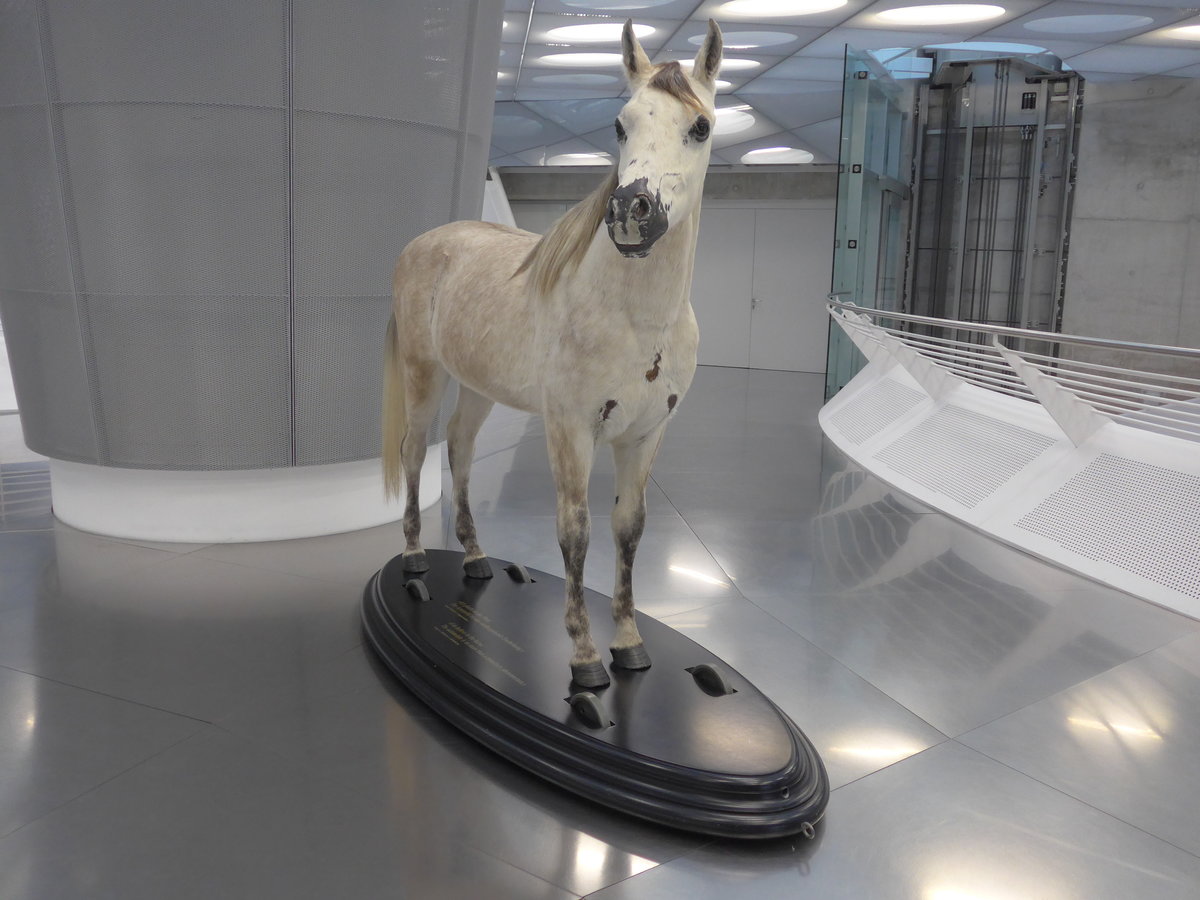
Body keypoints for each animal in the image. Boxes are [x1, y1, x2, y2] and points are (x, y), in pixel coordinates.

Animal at [382, 20, 723, 689]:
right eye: (620, 124)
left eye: (699, 127)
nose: (632, 212)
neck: (639, 321)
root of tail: (426, 243)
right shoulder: (571, 429)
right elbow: (575, 533)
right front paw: (586, 659)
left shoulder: (645, 436)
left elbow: (628, 528)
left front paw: (629, 645)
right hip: (423, 374)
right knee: (413, 452)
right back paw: (412, 558)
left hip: (478, 388)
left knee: (459, 449)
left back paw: (476, 558)